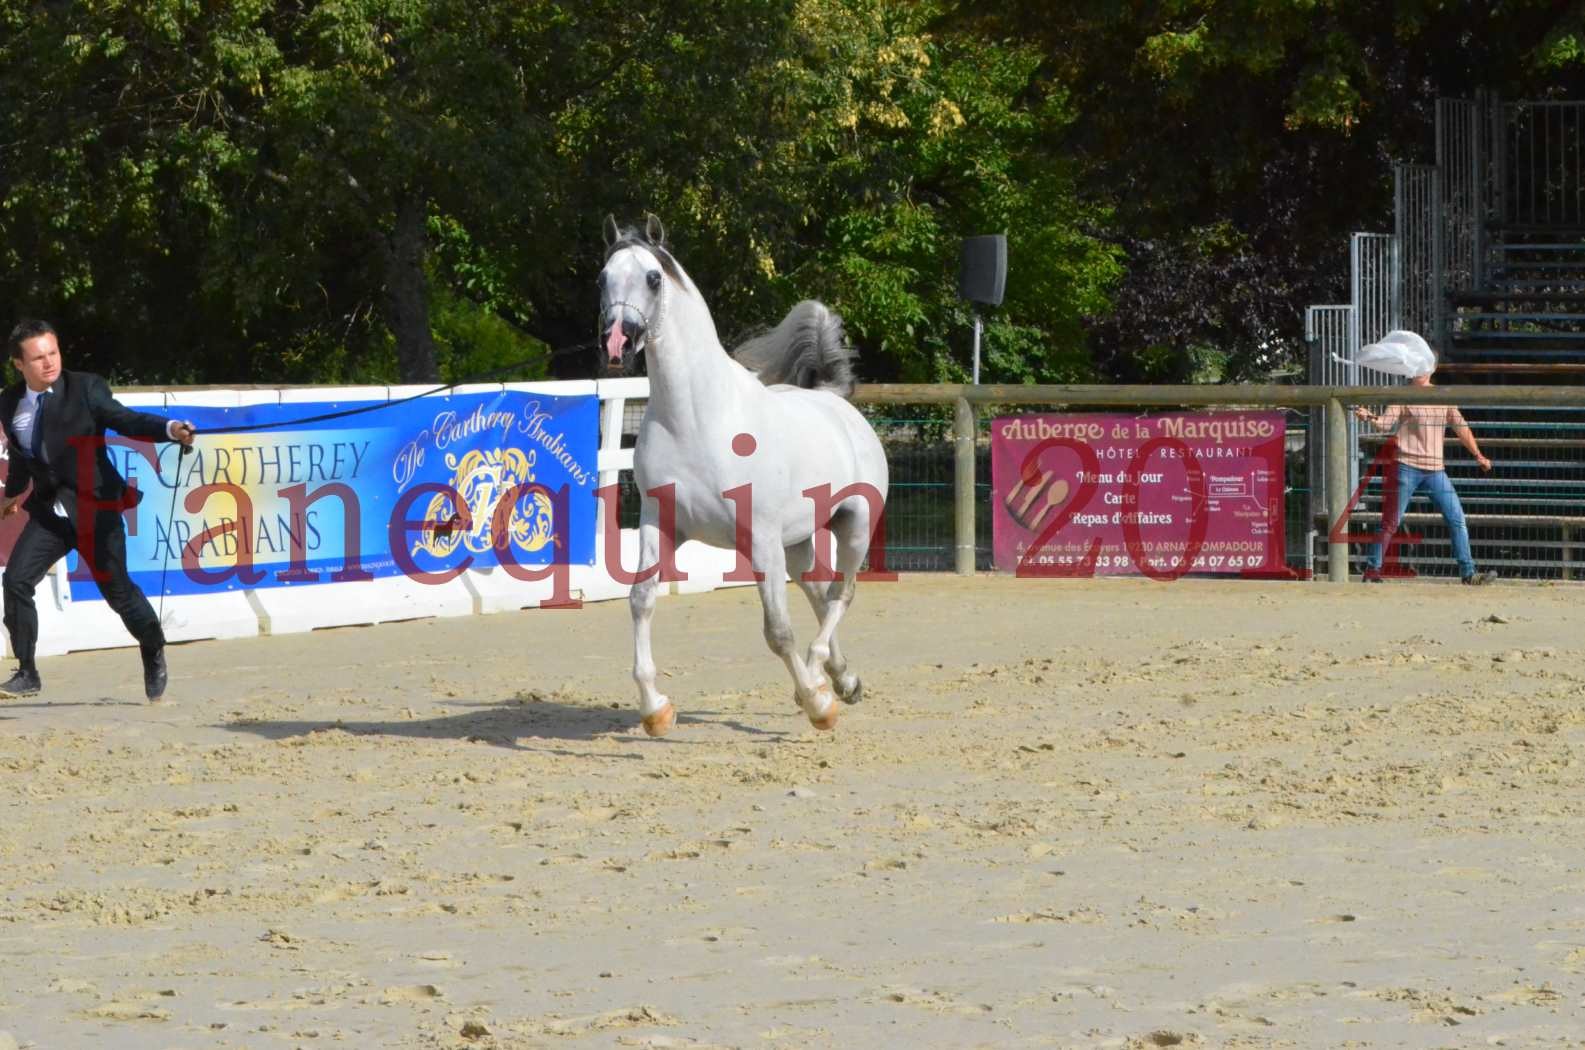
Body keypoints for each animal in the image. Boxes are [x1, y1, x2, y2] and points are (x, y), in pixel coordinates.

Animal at [595, 217, 887, 735]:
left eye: (652, 278)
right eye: (602, 278)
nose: (618, 340)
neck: (696, 418)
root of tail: (837, 403)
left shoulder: (761, 539)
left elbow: (778, 631)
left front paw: (817, 706)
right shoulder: (660, 523)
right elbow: (641, 600)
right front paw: (656, 709)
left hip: (854, 528)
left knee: (841, 595)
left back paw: (820, 685)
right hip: (798, 543)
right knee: (819, 592)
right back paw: (842, 680)